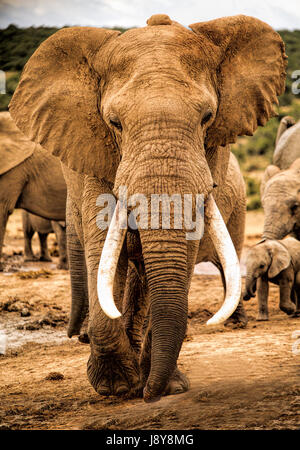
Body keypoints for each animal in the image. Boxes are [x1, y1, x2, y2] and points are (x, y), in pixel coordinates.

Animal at [9, 14, 286, 402]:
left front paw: (163, 386)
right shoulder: (97, 158)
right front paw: (116, 387)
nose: (149, 395)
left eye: (207, 117)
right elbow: (105, 246)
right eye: (114, 123)